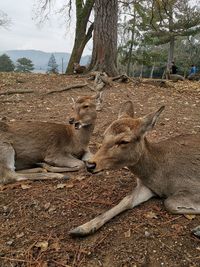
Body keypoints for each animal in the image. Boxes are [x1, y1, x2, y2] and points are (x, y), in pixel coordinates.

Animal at [70, 101, 200, 238]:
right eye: (104, 135)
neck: (158, 176)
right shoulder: (146, 186)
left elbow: (169, 203)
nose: (90, 165)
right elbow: (126, 200)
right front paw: (83, 228)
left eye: (124, 141)